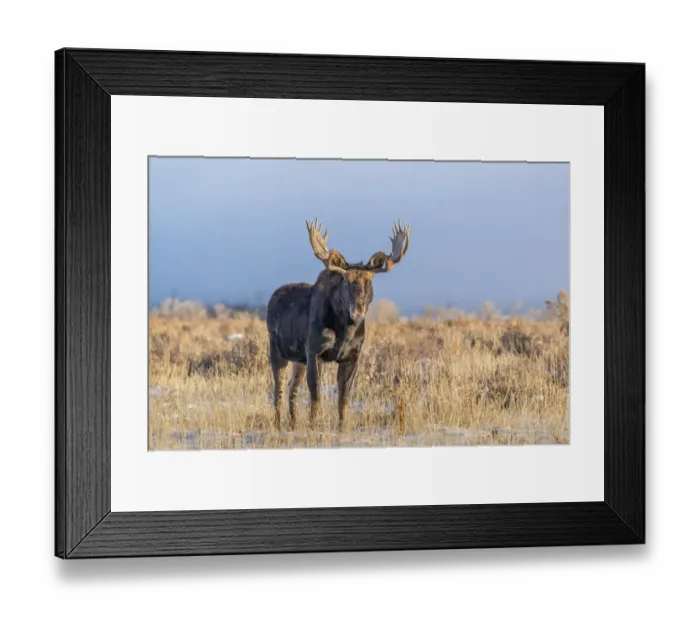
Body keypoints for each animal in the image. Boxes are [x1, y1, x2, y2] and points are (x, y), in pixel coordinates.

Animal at [266, 219, 410, 432]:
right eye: (346, 281)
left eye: (369, 281)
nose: (357, 311)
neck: (345, 332)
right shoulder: (314, 351)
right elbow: (316, 397)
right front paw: (313, 427)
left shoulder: (351, 356)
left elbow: (343, 398)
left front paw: (342, 428)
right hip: (277, 350)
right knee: (279, 390)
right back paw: (278, 425)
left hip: (298, 359)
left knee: (292, 387)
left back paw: (292, 423)